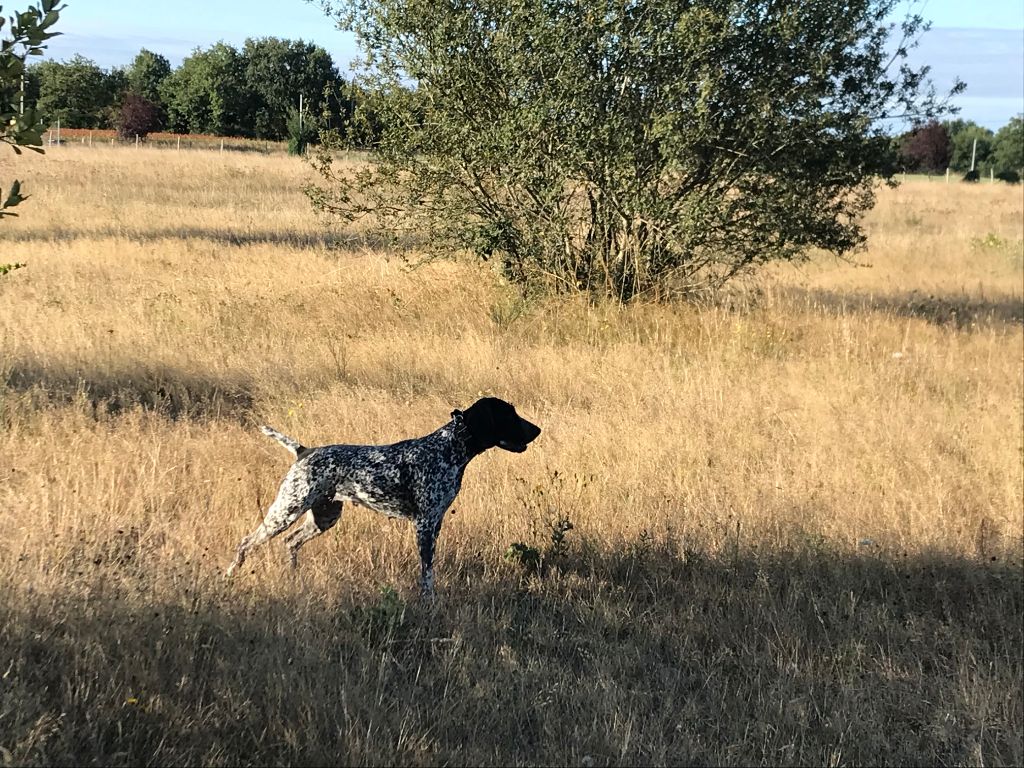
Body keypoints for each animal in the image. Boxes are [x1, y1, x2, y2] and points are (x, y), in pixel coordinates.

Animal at [227, 399, 540, 598]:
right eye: (509, 413)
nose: (537, 429)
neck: (449, 448)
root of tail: (304, 451)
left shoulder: (436, 523)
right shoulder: (425, 524)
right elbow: (426, 573)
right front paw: (428, 602)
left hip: (324, 516)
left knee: (290, 542)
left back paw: (296, 581)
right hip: (286, 510)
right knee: (246, 543)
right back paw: (229, 576)